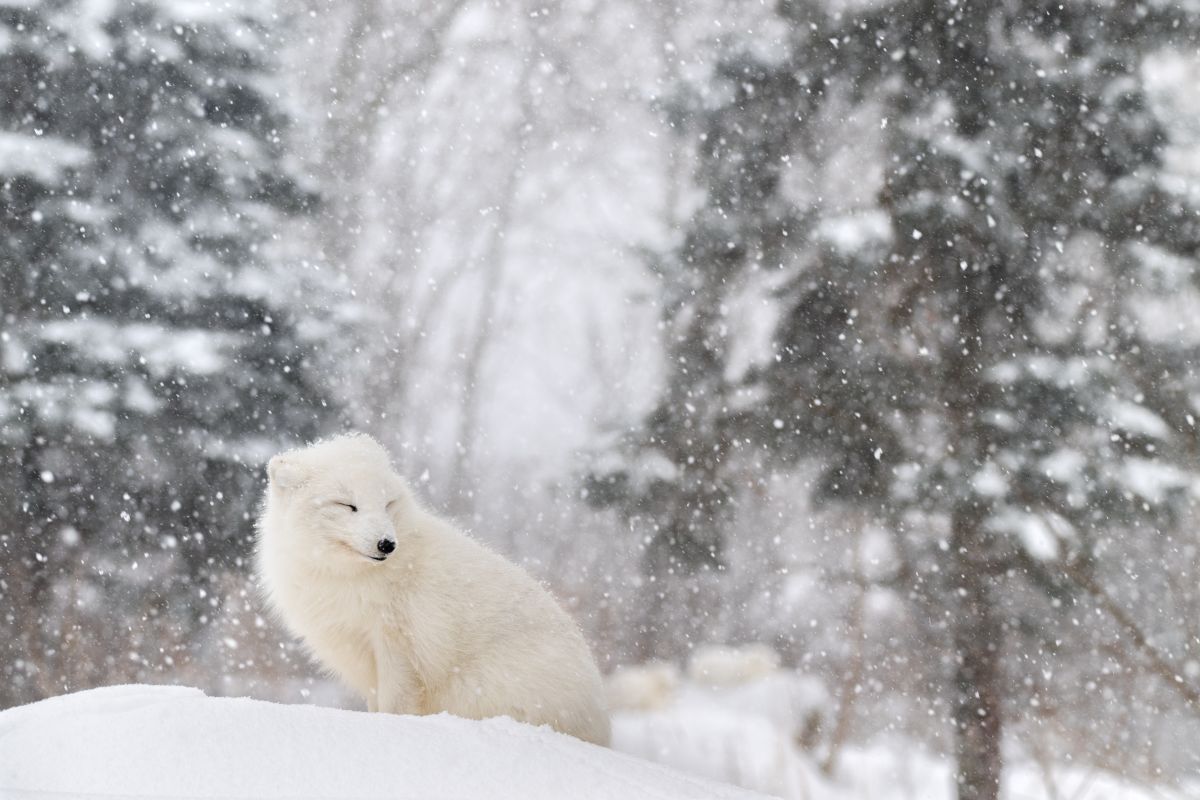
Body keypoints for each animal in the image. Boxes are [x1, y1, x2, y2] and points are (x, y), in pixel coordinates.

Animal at [255, 433, 611, 746]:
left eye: (387, 504)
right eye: (347, 505)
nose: (387, 544)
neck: (348, 577)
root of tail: (603, 728)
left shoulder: (397, 645)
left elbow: (395, 705)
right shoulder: (362, 654)